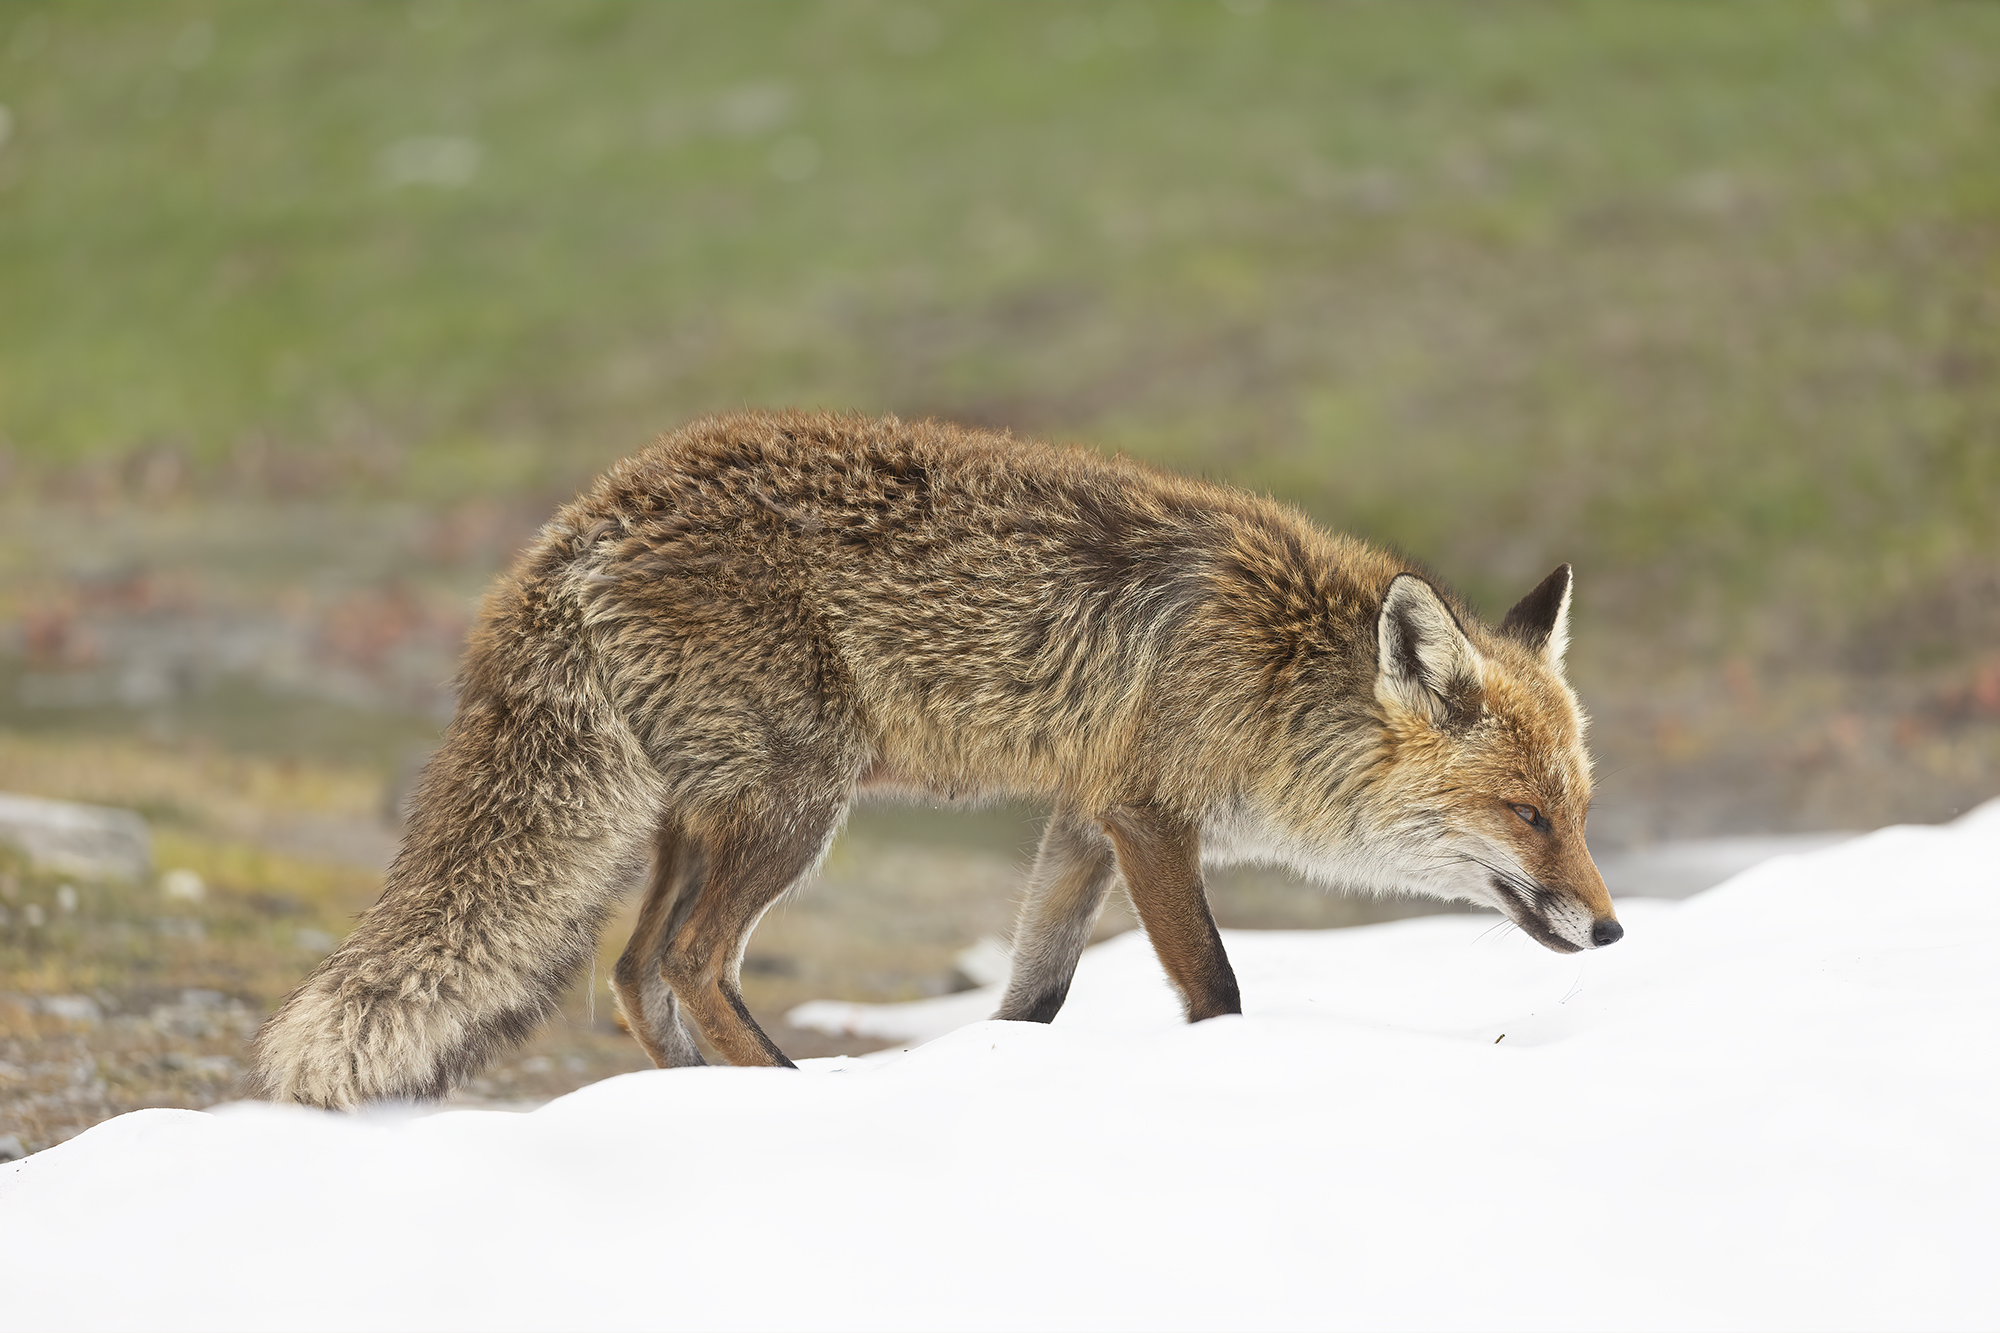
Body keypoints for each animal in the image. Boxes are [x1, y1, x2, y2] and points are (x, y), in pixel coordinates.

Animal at [250, 410, 1618, 1108]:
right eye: (1524, 814)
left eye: (1579, 808)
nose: (1610, 930)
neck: (1273, 669)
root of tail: (584, 516)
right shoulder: (1146, 816)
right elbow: (1217, 985)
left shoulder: (1080, 821)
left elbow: (1033, 991)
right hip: (795, 806)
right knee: (689, 960)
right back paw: (789, 1098)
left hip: (703, 814)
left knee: (637, 969)